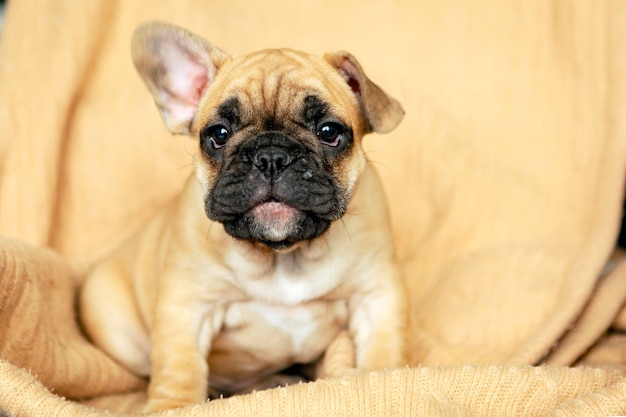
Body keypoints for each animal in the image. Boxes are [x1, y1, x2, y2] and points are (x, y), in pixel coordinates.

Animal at [78, 22, 408, 410]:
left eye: (329, 132)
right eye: (218, 135)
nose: (271, 156)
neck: (284, 258)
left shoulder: (376, 295)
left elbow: (384, 352)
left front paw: (379, 380)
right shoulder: (187, 305)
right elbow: (179, 369)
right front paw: (173, 406)